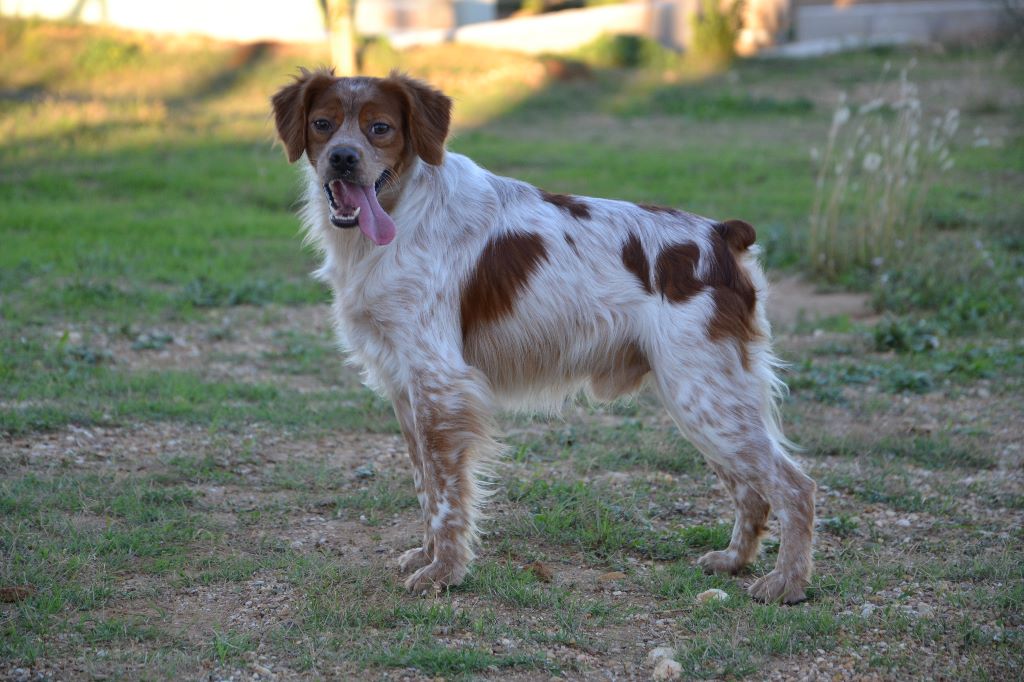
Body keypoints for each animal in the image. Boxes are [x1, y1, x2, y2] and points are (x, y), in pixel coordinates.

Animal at [270, 67, 815, 602]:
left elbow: (446, 496)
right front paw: (427, 556)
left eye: (380, 128)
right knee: (751, 490)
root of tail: (721, 234)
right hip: (704, 399)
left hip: (702, 394)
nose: (343, 159)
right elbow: (426, 485)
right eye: (322, 124)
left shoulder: (440, 382)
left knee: (795, 486)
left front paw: (444, 571)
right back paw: (734, 560)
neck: (398, 212)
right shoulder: (406, 386)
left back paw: (786, 583)